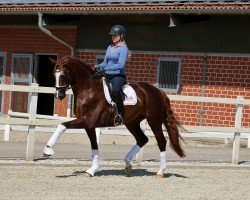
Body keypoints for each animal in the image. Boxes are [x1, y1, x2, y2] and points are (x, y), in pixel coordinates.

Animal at [43, 55, 185, 177]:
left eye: (63, 74)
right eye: (53, 74)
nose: (59, 95)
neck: (88, 89)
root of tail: (159, 91)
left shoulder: (88, 121)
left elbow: (62, 125)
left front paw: (48, 150)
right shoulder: (89, 125)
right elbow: (94, 145)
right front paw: (92, 170)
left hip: (154, 120)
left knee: (161, 141)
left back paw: (160, 171)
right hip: (132, 122)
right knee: (142, 139)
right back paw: (127, 163)